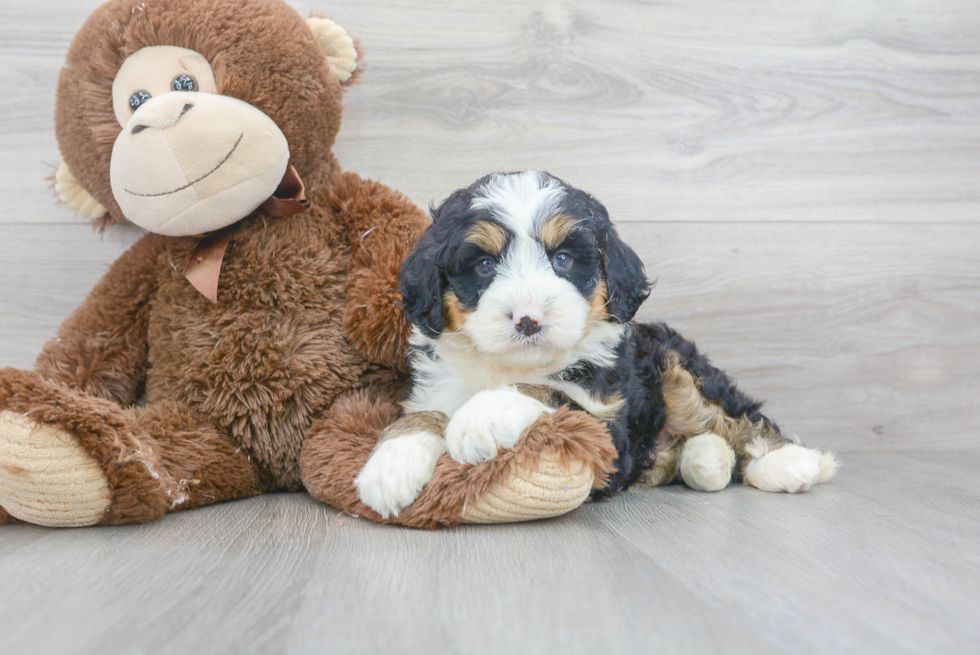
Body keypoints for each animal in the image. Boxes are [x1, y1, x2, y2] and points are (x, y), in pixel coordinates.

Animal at [356, 172, 840, 520]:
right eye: (485, 265)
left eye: (563, 259)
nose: (529, 318)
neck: (508, 365)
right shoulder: (433, 385)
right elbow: (422, 415)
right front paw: (391, 464)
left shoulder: (607, 432)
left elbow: (546, 391)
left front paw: (481, 416)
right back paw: (706, 458)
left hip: (675, 361)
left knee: (737, 415)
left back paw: (789, 462)